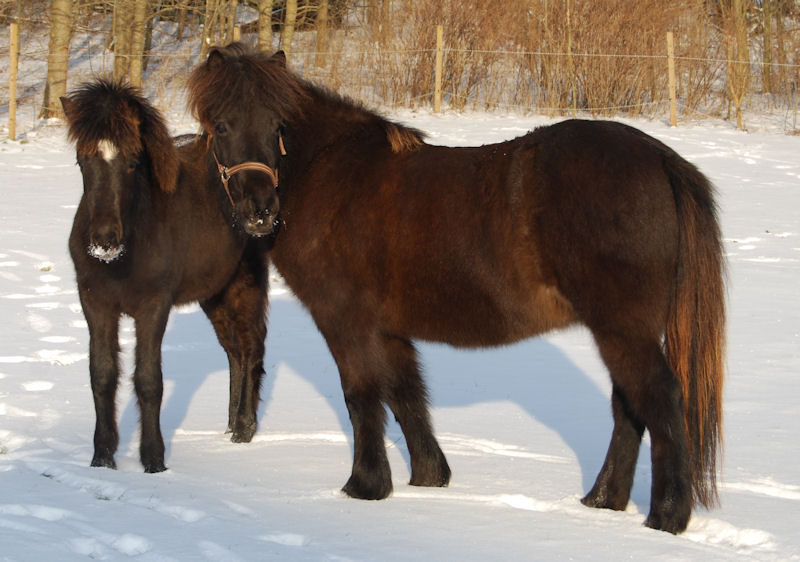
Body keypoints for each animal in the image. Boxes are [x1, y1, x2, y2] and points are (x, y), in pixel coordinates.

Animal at [61, 79, 278, 470]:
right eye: (82, 161)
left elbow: (149, 380)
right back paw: (229, 425)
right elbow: (102, 375)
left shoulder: (153, 307)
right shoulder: (96, 305)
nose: (103, 240)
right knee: (234, 351)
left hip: (245, 285)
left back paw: (243, 428)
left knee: (252, 346)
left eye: (133, 162)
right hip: (214, 293)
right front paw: (103, 458)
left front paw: (154, 459)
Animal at [186, 46, 724, 532]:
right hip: (619, 331)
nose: (260, 210)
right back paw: (602, 501)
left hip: (622, 329)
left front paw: (364, 486)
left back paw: (666, 517)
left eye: (278, 125)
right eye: (222, 126)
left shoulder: (345, 321)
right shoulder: (388, 329)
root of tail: (659, 158)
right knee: (629, 407)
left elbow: (361, 396)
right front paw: (429, 478)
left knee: (659, 398)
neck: (330, 172)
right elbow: (406, 395)